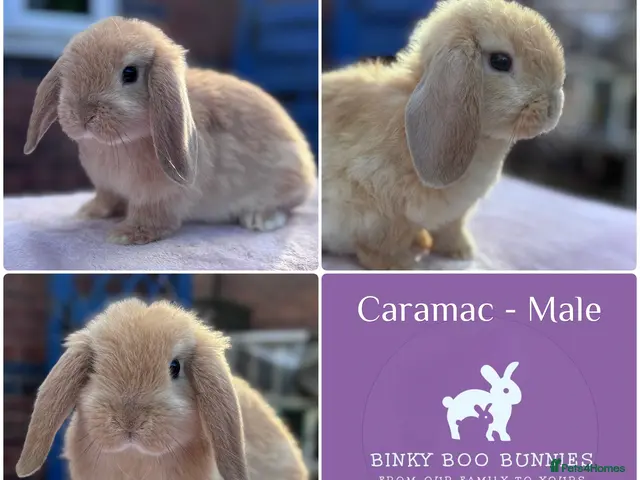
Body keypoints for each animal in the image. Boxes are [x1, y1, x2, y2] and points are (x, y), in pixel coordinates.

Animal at [24, 17, 316, 245]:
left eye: (130, 73)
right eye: (68, 73)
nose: (83, 114)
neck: (119, 144)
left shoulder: (158, 196)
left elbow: (152, 216)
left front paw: (127, 235)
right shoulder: (107, 187)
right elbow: (105, 199)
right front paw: (89, 212)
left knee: (285, 207)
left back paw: (260, 219)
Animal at [322, 0, 565, 270]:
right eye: (501, 61)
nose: (552, 109)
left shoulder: (455, 213)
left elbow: (450, 231)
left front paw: (461, 252)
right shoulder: (379, 209)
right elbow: (380, 246)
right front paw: (403, 265)